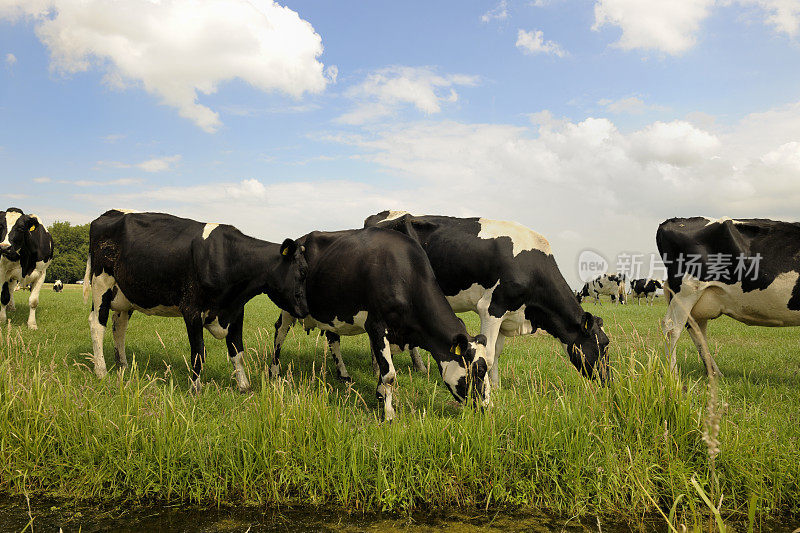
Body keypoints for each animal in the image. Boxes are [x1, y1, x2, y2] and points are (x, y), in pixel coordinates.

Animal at [81, 209, 306, 390]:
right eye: (301, 272)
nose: (304, 311)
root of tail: (108, 214)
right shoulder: (191, 309)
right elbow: (198, 353)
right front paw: (195, 389)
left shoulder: (236, 310)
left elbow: (237, 351)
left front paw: (244, 386)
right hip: (101, 283)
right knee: (97, 324)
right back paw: (101, 371)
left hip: (124, 295)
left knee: (119, 328)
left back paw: (124, 366)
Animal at [272, 228, 490, 420]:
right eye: (479, 371)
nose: (487, 407)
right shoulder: (376, 325)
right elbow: (389, 374)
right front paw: (389, 413)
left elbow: (384, 366)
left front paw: (380, 394)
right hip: (290, 306)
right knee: (280, 332)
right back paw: (274, 372)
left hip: (332, 313)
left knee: (333, 338)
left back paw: (343, 375)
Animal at [362, 209, 608, 386]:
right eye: (604, 346)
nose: (608, 382)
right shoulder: (491, 308)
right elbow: (488, 355)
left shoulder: (508, 314)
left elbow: (497, 352)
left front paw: (497, 387)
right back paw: (376, 369)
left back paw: (419, 367)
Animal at [656, 214, 800, 376]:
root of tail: (672, 221)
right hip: (686, 291)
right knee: (672, 329)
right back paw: (673, 375)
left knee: (696, 329)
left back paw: (715, 374)